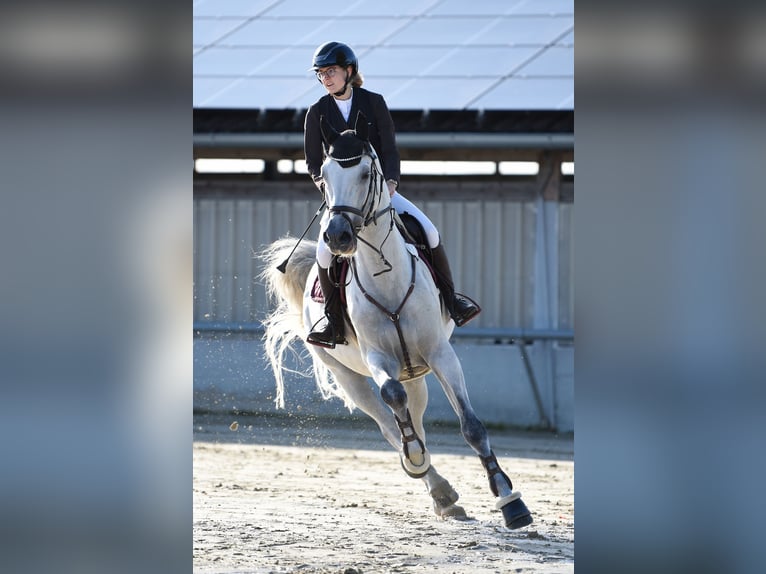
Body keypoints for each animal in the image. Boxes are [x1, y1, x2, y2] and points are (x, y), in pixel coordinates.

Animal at [259, 112, 532, 529]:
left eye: (365, 173)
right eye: (325, 174)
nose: (337, 236)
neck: (385, 277)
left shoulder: (439, 353)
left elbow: (471, 426)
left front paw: (510, 501)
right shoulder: (377, 358)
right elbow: (392, 399)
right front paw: (414, 458)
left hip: (415, 370)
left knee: (413, 415)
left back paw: (443, 493)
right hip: (346, 374)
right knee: (389, 422)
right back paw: (430, 477)